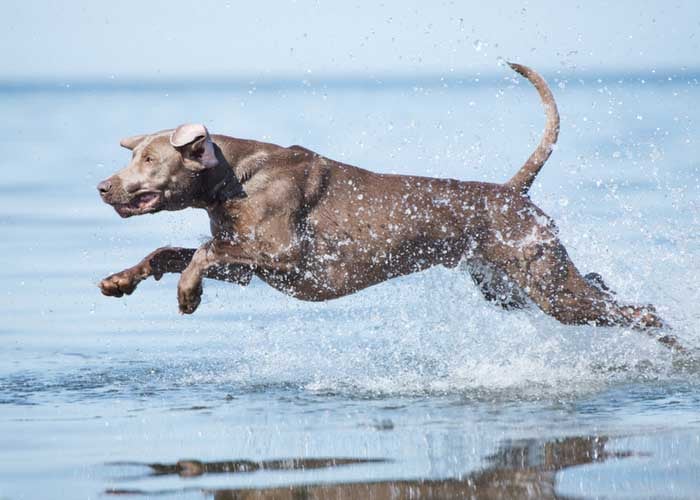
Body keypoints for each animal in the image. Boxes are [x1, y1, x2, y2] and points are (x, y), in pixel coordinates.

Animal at [98, 63, 680, 348]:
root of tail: (514, 191)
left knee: (639, 311)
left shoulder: (285, 254)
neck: (235, 176)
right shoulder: (248, 266)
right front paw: (121, 280)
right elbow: (171, 250)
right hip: (509, 287)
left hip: (547, 286)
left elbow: (203, 253)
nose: (103, 186)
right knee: (603, 288)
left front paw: (188, 294)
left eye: (148, 158)